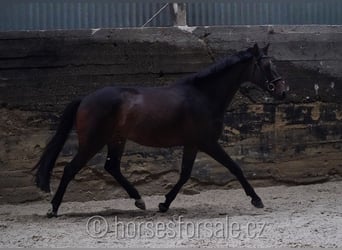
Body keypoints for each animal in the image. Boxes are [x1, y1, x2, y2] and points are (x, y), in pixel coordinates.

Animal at [32, 42, 288, 217]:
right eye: (266, 65)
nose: (283, 91)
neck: (203, 96)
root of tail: (84, 99)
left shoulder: (192, 144)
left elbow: (185, 174)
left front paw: (164, 204)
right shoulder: (208, 143)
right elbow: (235, 168)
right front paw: (256, 199)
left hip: (116, 139)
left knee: (112, 167)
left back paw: (139, 200)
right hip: (93, 141)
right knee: (70, 169)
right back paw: (53, 209)